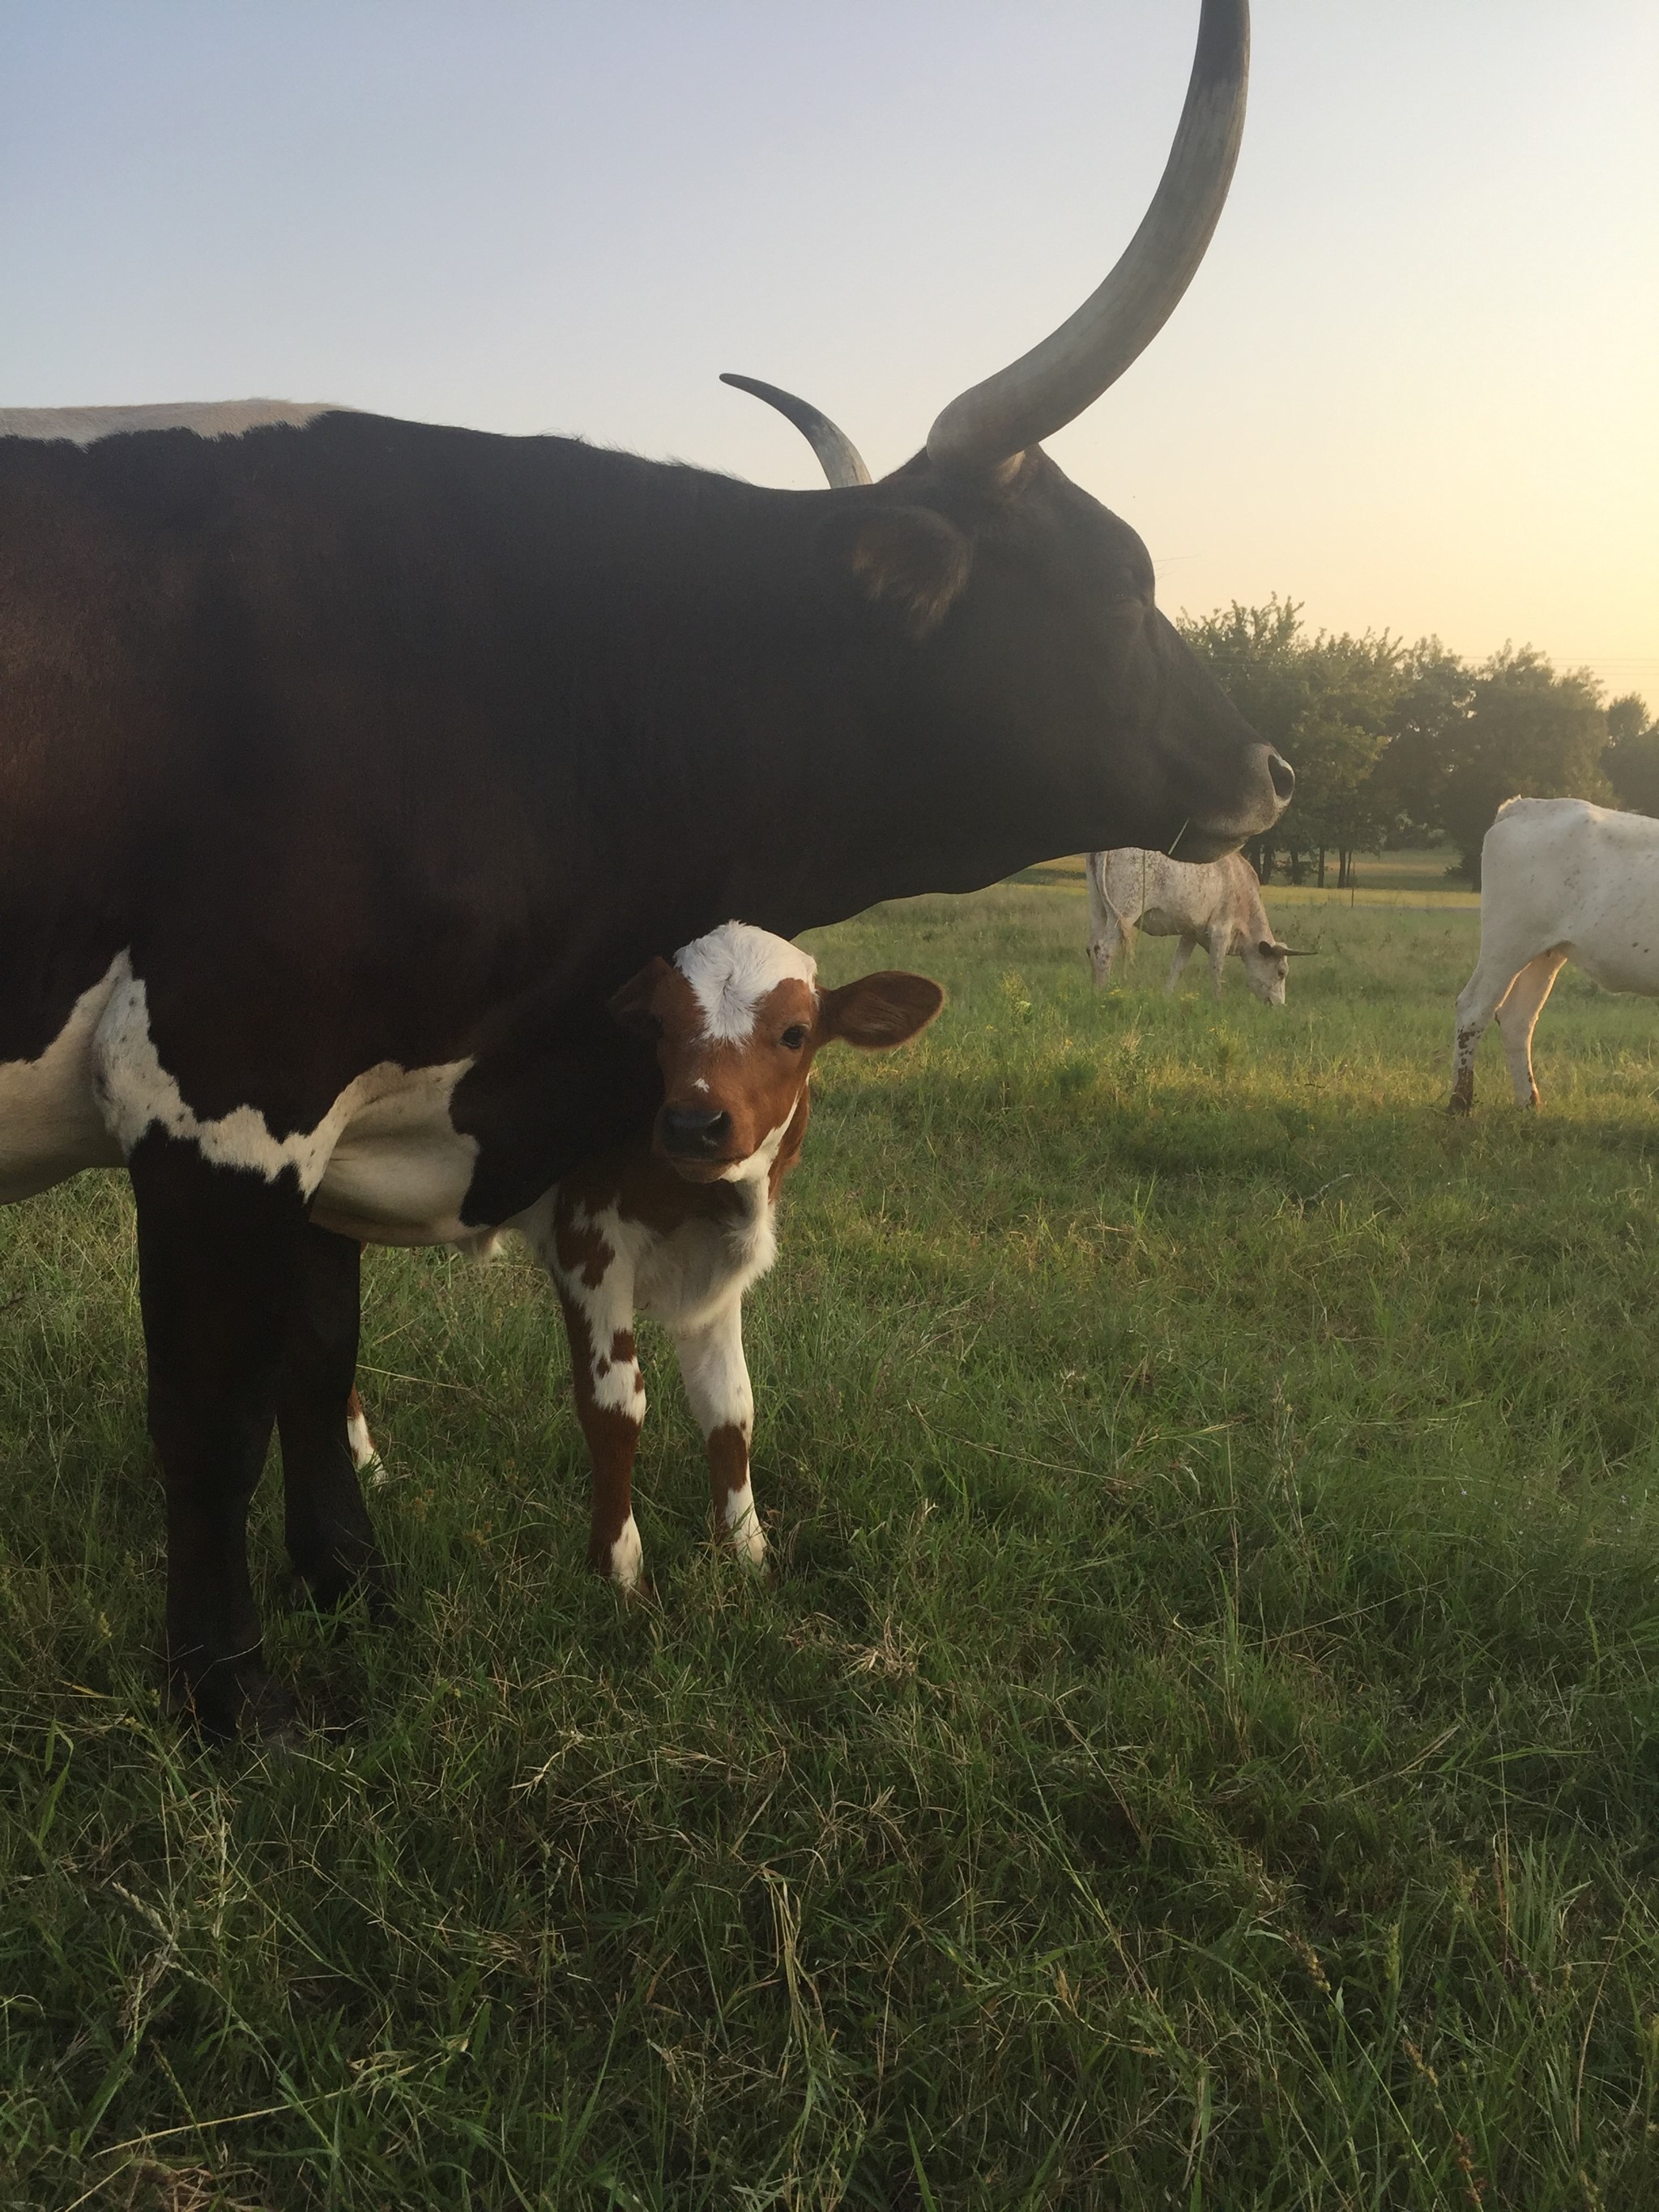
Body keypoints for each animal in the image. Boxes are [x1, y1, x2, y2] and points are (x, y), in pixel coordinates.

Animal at [1086, 848, 1303, 1003]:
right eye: (1281, 972)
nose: (1280, 1005)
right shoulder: (1221, 931)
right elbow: (1217, 968)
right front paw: (1218, 1000)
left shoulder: (1190, 933)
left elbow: (1178, 965)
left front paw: (1167, 996)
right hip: (1124, 911)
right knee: (1104, 950)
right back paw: (1102, 991)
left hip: (1099, 909)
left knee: (1092, 947)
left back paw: (1093, 988)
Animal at [1450, 797, 1659, 1113]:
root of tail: (1526, 806)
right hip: (1507, 944)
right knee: (1474, 1009)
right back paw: (1460, 1103)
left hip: (1544, 954)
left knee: (1518, 1019)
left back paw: (1529, 1103)